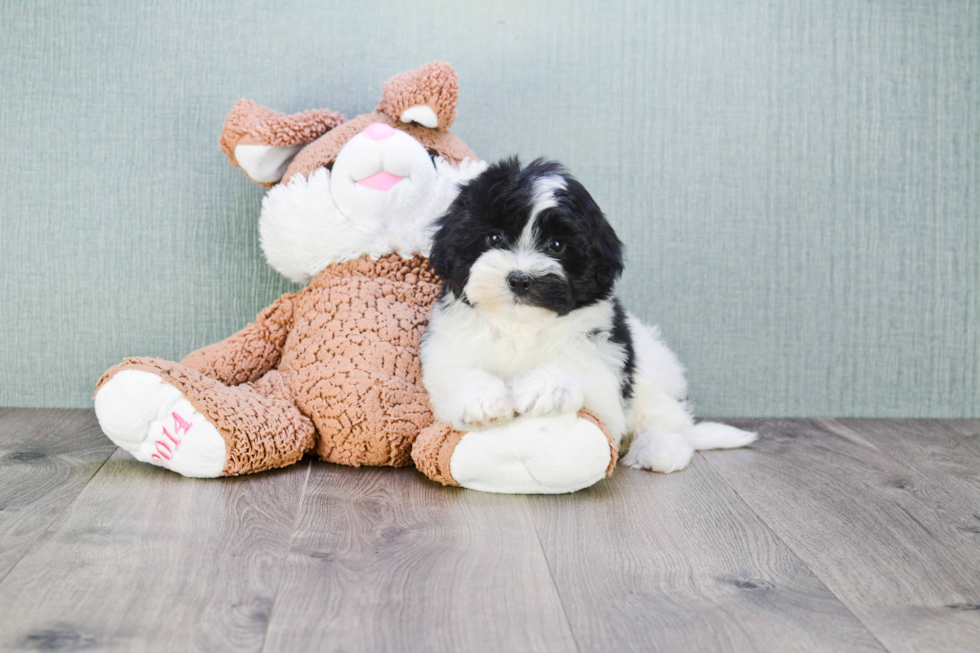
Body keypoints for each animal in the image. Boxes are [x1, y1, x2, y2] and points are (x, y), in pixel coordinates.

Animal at [424, 160, 756, 472]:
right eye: (494, 238)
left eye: (556, 245)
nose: (520, 279)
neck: (521, 324)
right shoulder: (447, 348)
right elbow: (456, 372)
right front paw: (482, 400)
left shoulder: (606, 364)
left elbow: (579, 368)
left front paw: (545, 387)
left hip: (655, 379)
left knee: (670, 422)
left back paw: (659, 449)